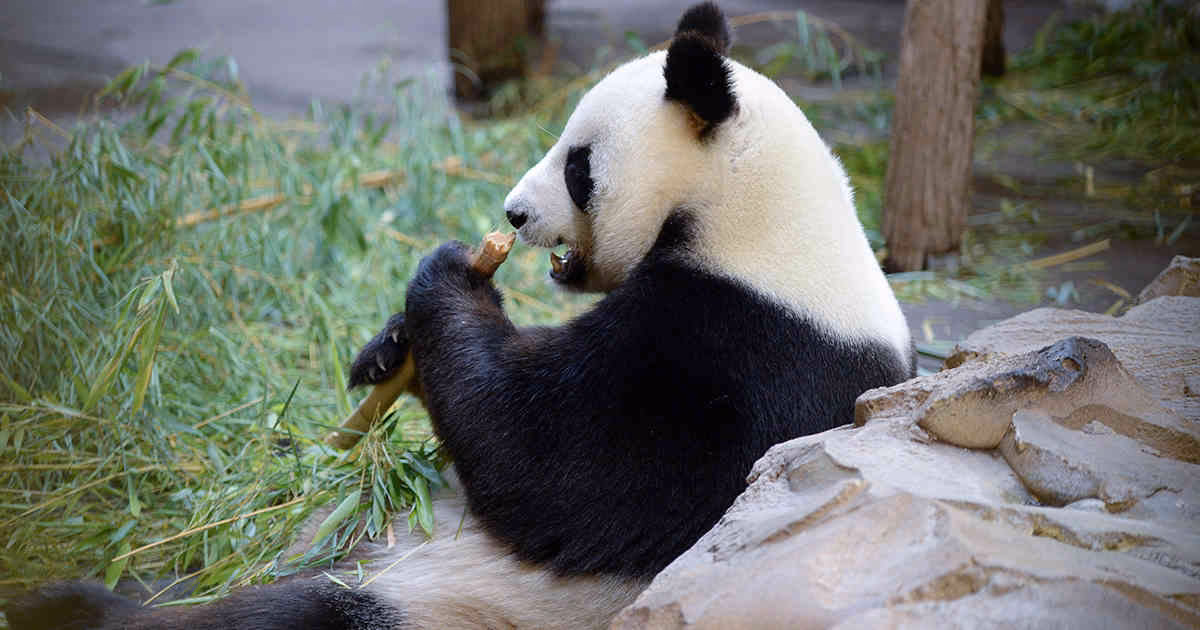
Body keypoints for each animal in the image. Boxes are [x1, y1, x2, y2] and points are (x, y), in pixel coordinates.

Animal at [6, 4, 912, 629]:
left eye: (578, 165)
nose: (512, 214)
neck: (761, 219)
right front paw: (386, 351)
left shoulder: (743, 357)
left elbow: (554, 466)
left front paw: (445, 280)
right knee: (196, 568)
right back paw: (66, 593)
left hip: (434, 603)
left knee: (287, 615)